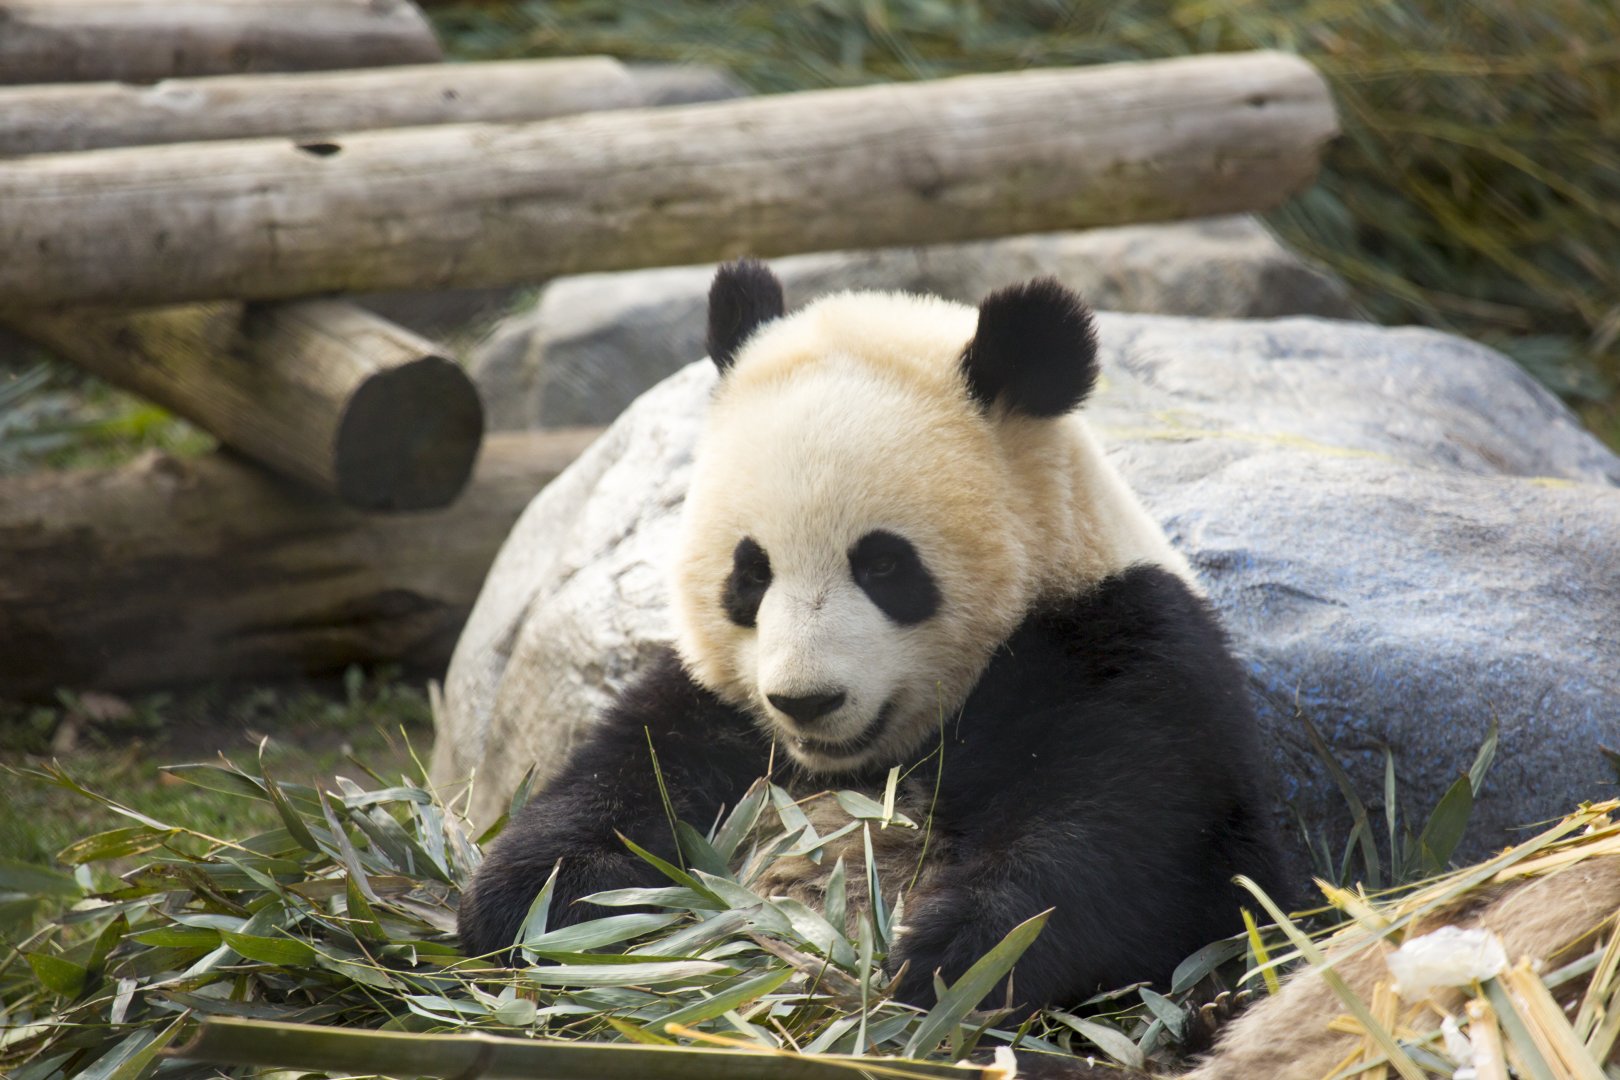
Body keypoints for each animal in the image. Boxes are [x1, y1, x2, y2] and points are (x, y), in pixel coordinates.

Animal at [457, 259, 1285, 1010]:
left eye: (884, 565)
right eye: (750, 573)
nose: (805, 701)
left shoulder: (1121, 648)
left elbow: (1127, 842)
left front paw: (952, 954)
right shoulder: (714, 707)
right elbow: (627, 778)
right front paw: (543, 899)